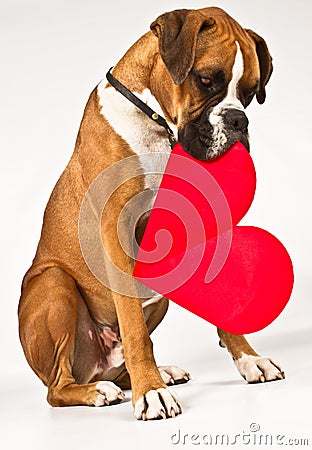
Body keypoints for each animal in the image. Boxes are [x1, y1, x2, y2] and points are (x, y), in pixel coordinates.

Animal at [18, 7, 284, 422]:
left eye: (248, 94)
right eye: (205, 80)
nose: (239, 121)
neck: (158, 123)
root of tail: (96, 368)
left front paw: (248, 359)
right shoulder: (117, 231)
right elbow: (134, 327)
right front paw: (152, 393)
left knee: (118, 367)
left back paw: (159, 372)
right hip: (53, 282)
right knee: (56, 389)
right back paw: (99, 390)